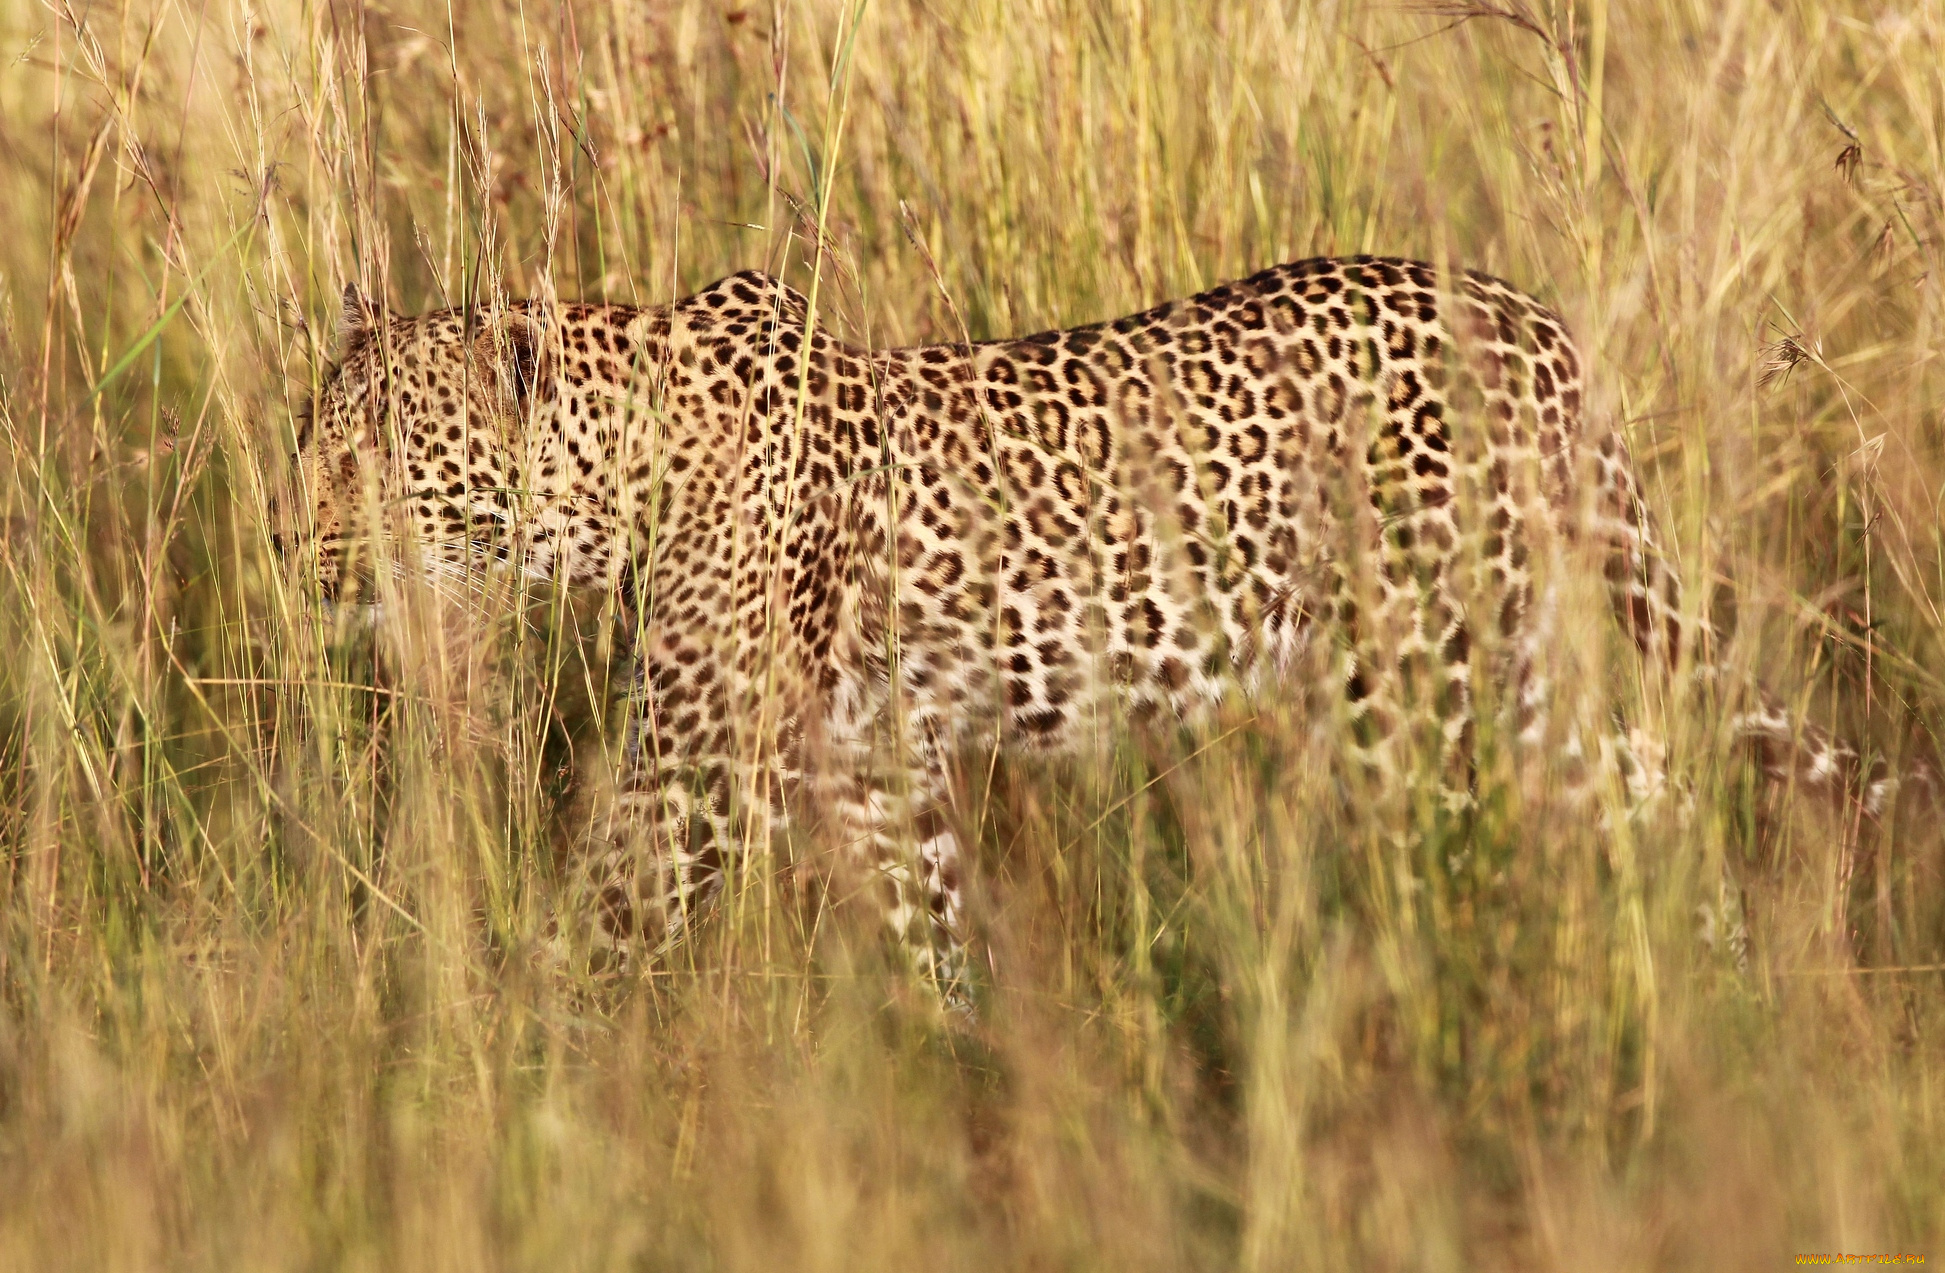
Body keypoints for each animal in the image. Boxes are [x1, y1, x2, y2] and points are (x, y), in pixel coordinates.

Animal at [291, 251, 1898, 1004]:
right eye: (312, 437)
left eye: (370, 455)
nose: (288, 547)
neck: (620, 475)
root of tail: (1532, 320)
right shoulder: (871, 764)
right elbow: (925, 926)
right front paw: (960, 1074)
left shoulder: (696, 764)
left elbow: (605, 919)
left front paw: (512, 1075)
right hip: (1496, 658)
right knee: (1642, 778)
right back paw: (1711, 996)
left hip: (1422, 677)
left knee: (1553, 810)